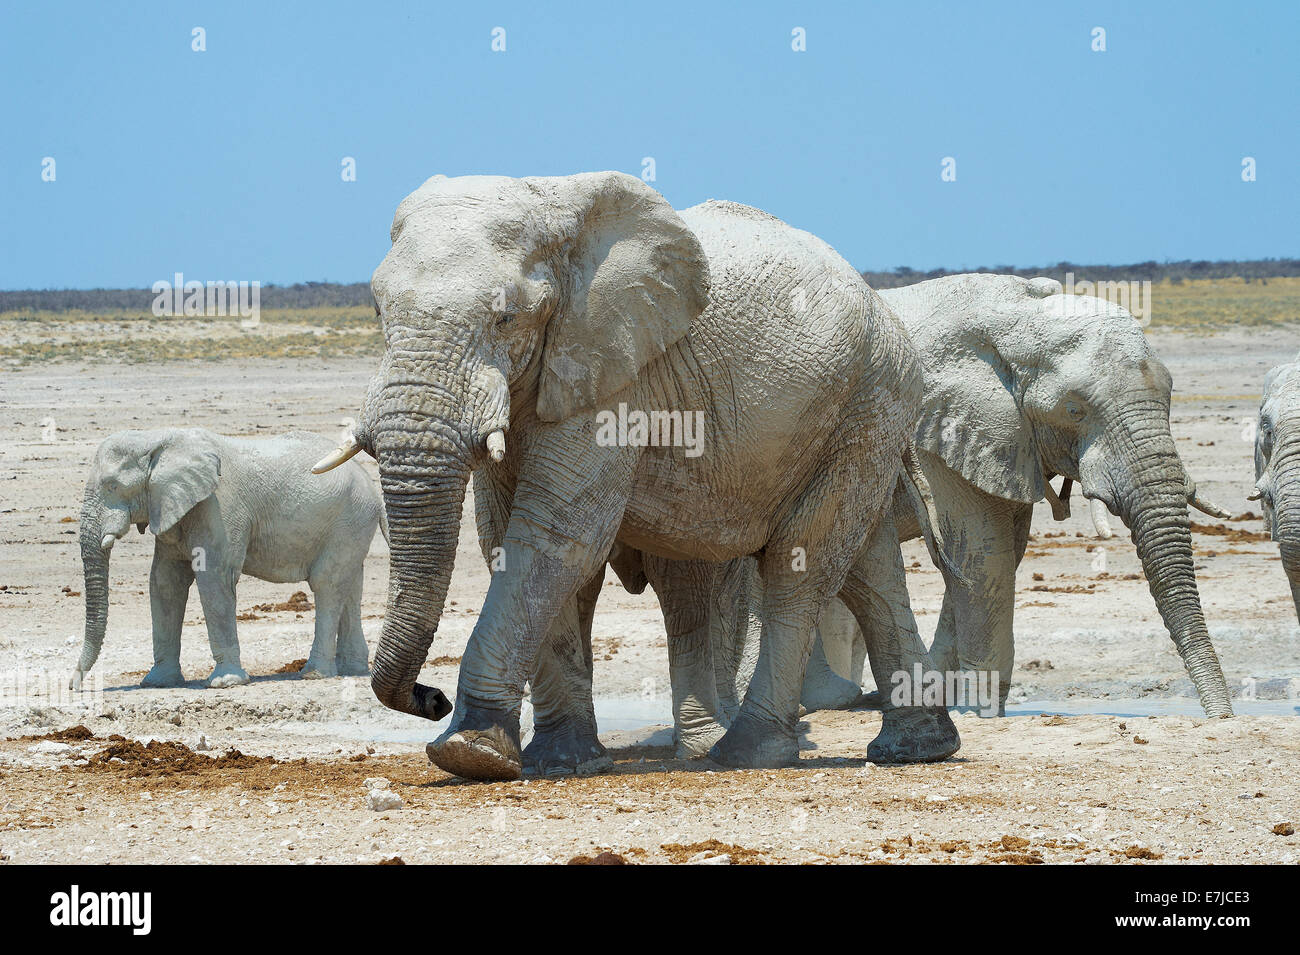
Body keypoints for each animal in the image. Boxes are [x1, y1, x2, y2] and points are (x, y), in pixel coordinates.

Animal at [73, 428, 382, 691]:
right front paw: (157, 682)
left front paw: (226, 683)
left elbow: (214, 578)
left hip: (349, 518)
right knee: (350, 587)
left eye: (112, 485)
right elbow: (165, 582)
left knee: (326, 583)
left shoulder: (219, 507)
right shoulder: (170, 507)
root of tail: (371, 486)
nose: (74, 685)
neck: (157, 438)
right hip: (354, 523)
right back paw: (352, 670)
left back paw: (314, 673)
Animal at [309, 171, 951, 779]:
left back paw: (744, 753)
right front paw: (559, 762)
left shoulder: (615, 374)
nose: (430, 696)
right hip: (859, 418)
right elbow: (510, 539)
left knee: (803, 563)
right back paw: (916, 749)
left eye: (506, 317)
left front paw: (470, 754)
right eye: (378, 312)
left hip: (868, 401)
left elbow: (557, 535)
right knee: (866, 567)